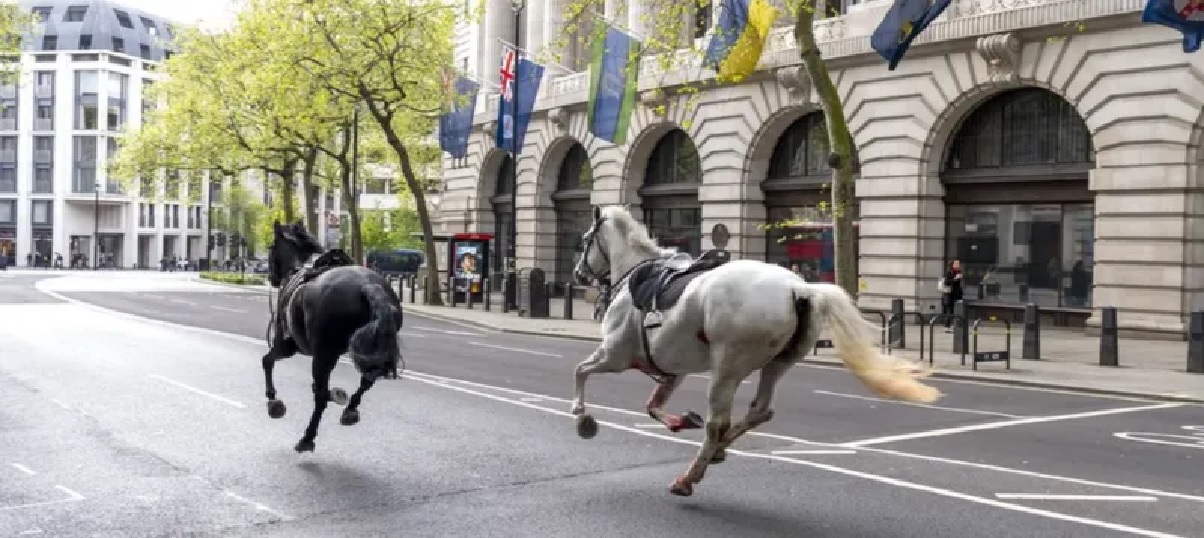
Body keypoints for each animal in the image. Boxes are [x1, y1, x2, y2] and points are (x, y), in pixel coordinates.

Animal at [264, 221, 404, 452]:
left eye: (271, 247)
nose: (272, 278)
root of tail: (368, 285)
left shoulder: (287, 346)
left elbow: (267, 361)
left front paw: (273, 400)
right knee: (367, 379)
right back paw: (350, 409)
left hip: (322, 354)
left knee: (321, 397)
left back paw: (307, 438)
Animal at [568, 205, 943, 495]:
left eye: (585, 241)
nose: (578, 275)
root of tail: (800, 288)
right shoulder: (672, 369)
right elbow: (652, 406)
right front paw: (680, 421)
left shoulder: (615, 355)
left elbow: (581, 370)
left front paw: (582, 417)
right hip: (778, 362)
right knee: (760, 410)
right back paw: (717, 452)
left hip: (727, 366)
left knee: (719, 422)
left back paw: (690, 476)